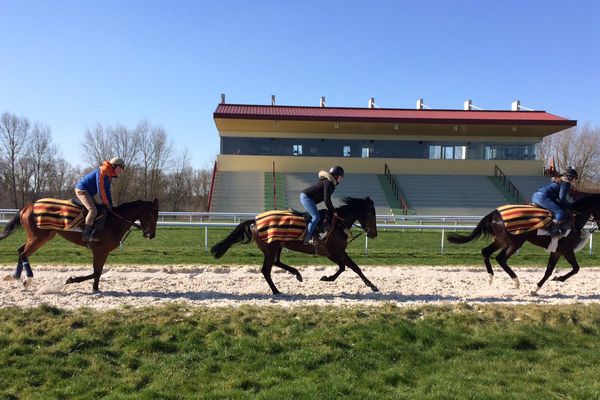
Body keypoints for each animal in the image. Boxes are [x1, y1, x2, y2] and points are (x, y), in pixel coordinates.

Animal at [0, 199, 159, 290]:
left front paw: (96, 288)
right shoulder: (99, 250)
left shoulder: (104, 252)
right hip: (38, 237)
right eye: (152, 214)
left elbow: (98, 272)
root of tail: (27, 207)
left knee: (20, 250)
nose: (151, 235)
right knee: (23, 253)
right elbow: (96, 272)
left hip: (43, 237)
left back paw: (15, 275)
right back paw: (28, 280)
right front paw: (71, 279)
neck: (115, 221)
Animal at [212, 196, 380, 294]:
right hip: (270, 248)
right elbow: (354, 266)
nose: (374, 233)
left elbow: (343, 267)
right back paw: (276, 291)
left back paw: (297, 274)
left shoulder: (330, 252)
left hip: (277, 246)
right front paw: (372, 285)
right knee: (266, 270)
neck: (338, 223)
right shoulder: (336, 250)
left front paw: (327, 278)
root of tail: (254, 220)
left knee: (276, 262)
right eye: (371, 212)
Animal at [446, 194, 600, 294]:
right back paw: (516, 281)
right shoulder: (566, 249)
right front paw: (558, 279)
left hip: (501, 241)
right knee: (500, 258)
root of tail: (494, 213)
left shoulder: (557, 251)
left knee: (485, 252)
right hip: (515, 242)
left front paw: (536, 289)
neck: (574, 218)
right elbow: (575, 268)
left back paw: (490, 278)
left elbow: (550, 270)